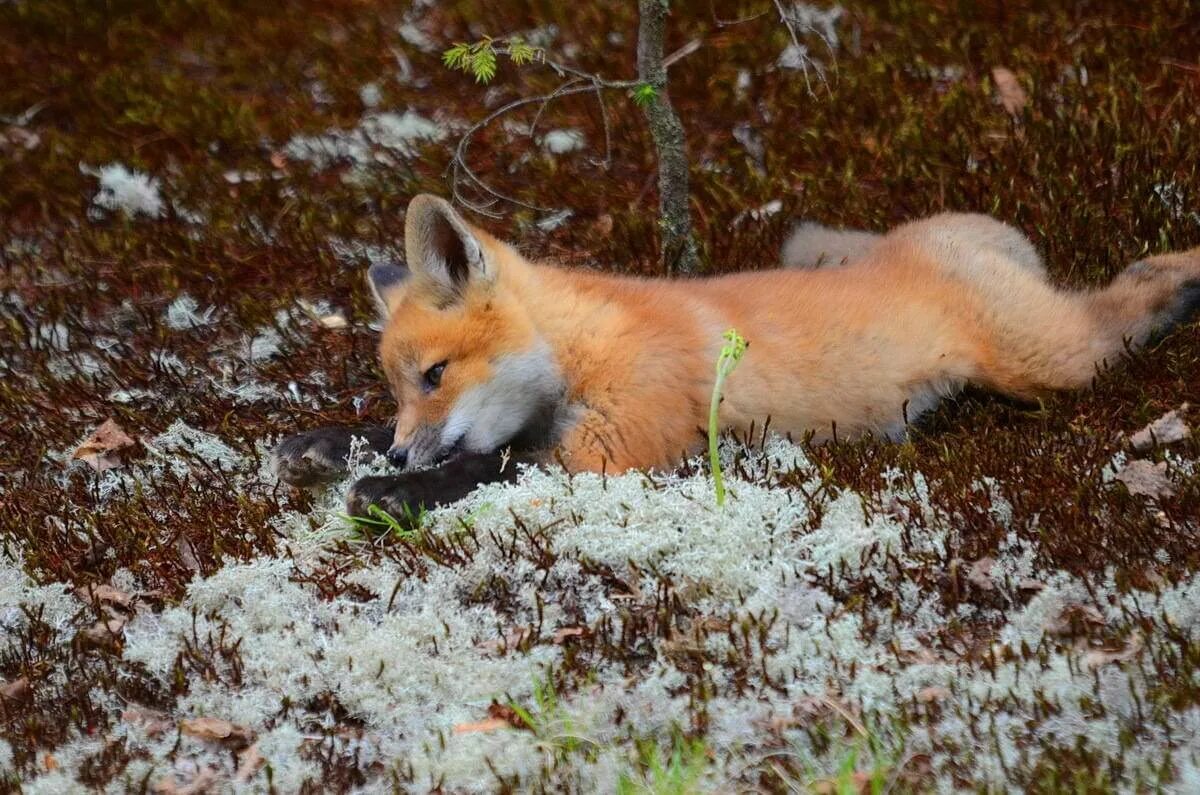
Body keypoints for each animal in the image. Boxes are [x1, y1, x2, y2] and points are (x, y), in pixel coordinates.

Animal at [274, 194, 1200, 516]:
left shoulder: (615, 447)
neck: (584, 347)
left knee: (1125, 300)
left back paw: (1182, 277)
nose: (400, 451)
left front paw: (391, 491)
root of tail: (921, 241)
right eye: (399, 390)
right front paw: (334, 443)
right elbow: (473, 450)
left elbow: (490, 464)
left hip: (1054, 361)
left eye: (436, 376)